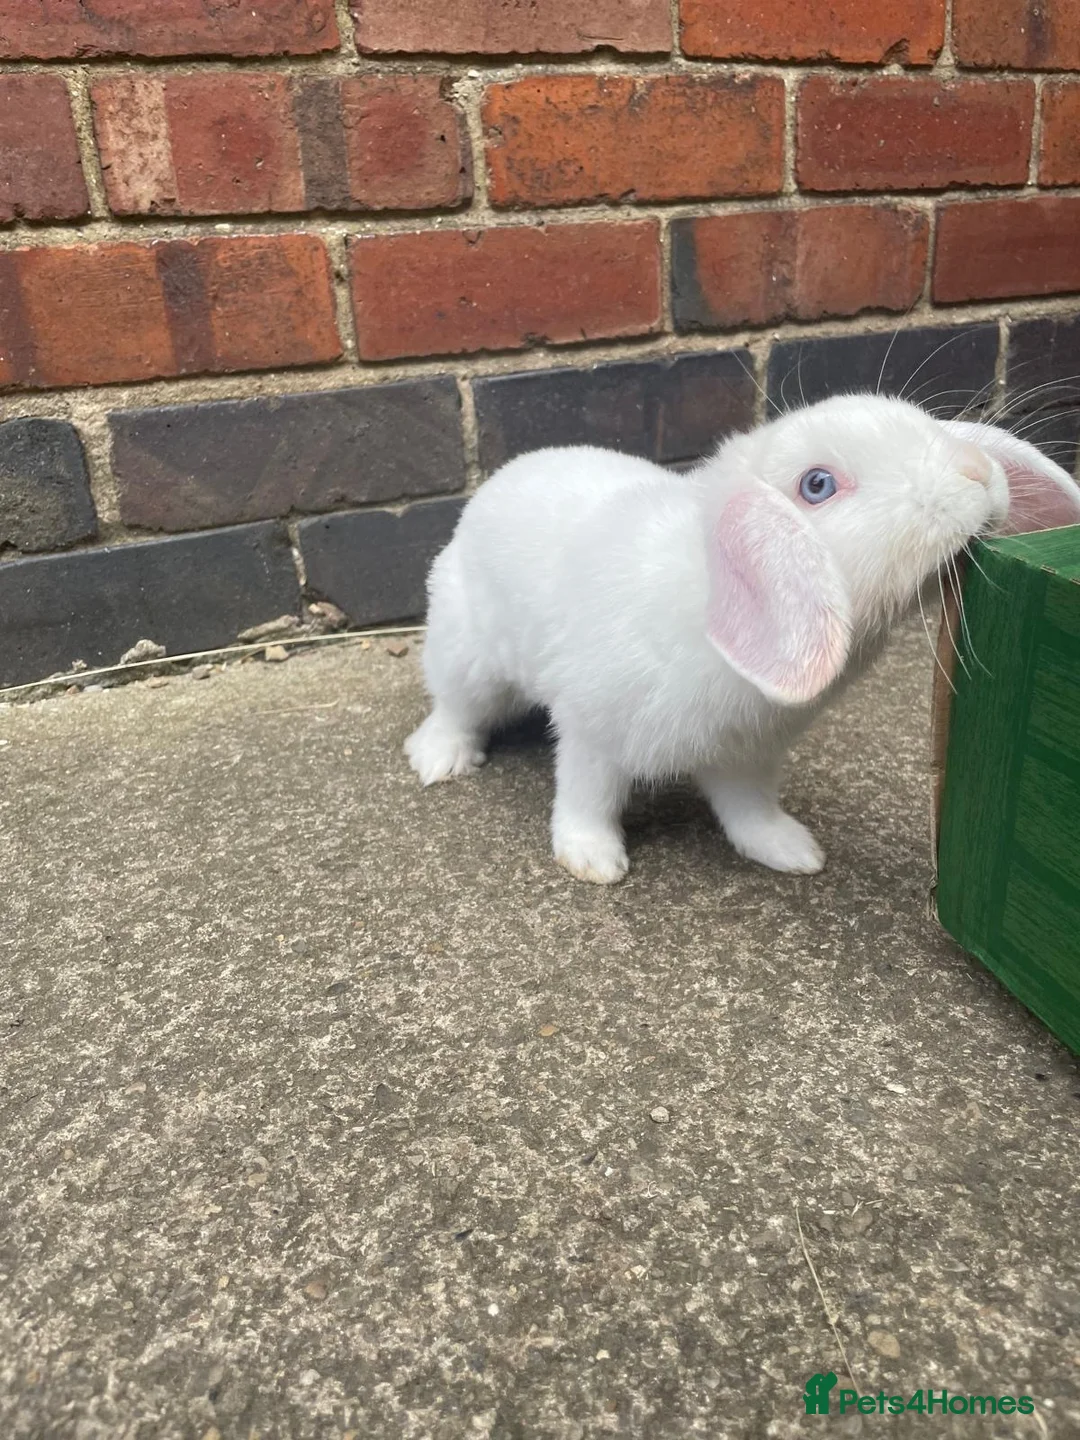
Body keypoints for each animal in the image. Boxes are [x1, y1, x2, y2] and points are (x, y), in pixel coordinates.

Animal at [405, 393, 1080, 884]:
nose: (978, 471)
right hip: (466, 657)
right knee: (454, 709)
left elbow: (748, 811)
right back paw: (438, 760)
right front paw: (593, 862)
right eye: (817, 485)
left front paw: (792, 851)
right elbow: (586, 798)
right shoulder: (592, 733)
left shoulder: (748, 754)